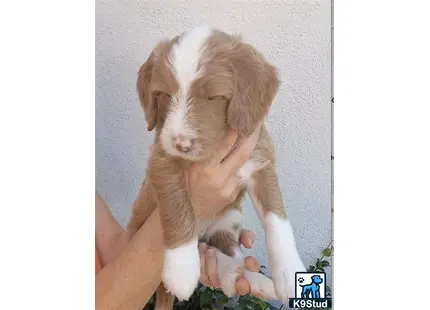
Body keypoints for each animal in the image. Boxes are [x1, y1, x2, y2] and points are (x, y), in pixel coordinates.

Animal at [126, 26, 308, 308]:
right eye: (163, 94)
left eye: (212, 97)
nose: (180, 143)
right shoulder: (161, 158)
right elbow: (177, 205)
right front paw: (181, 269)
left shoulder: (261, 160)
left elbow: (277, 219)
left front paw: (289, 273)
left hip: (227, 221)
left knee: (223, 255)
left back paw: (255, 281)